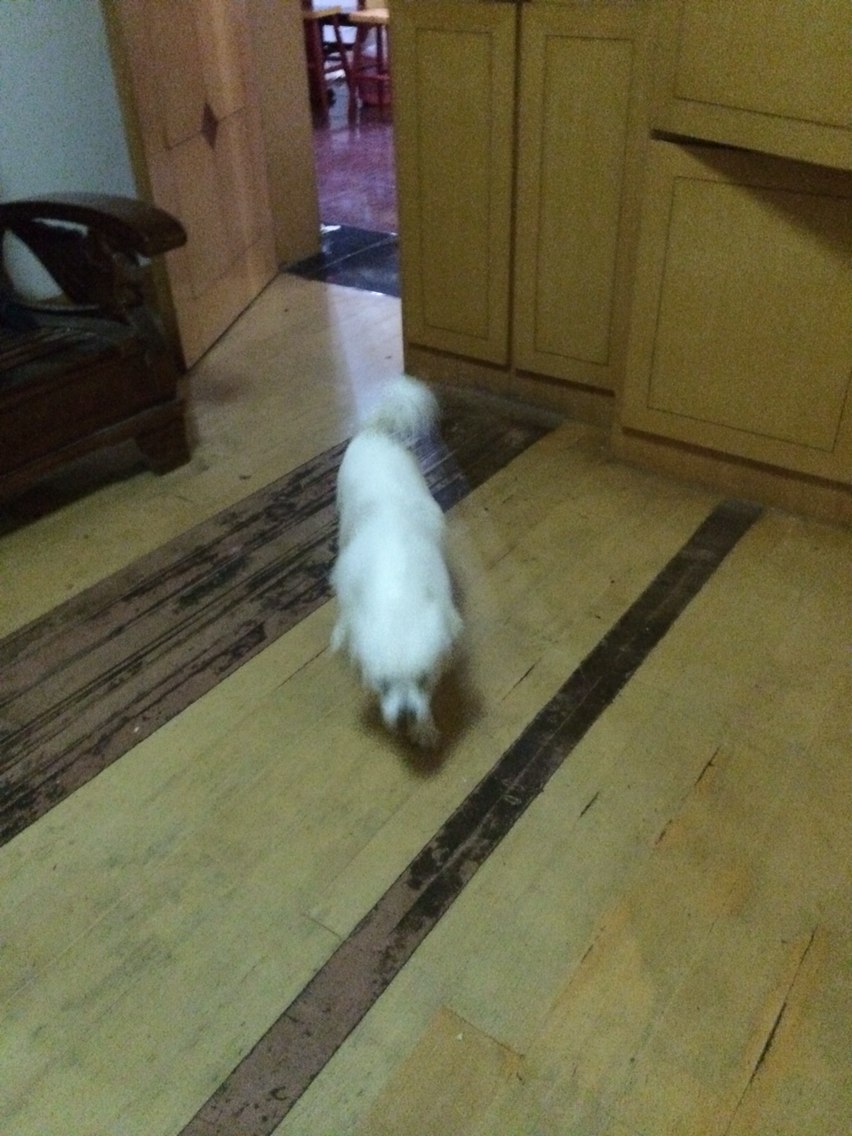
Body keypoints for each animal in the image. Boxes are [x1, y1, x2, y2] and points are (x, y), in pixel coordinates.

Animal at [330, 376, 463, 746]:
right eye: (382, 684)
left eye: (424, 680)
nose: (405, 715)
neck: (396, 588)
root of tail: (376, 431)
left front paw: (424, 729)